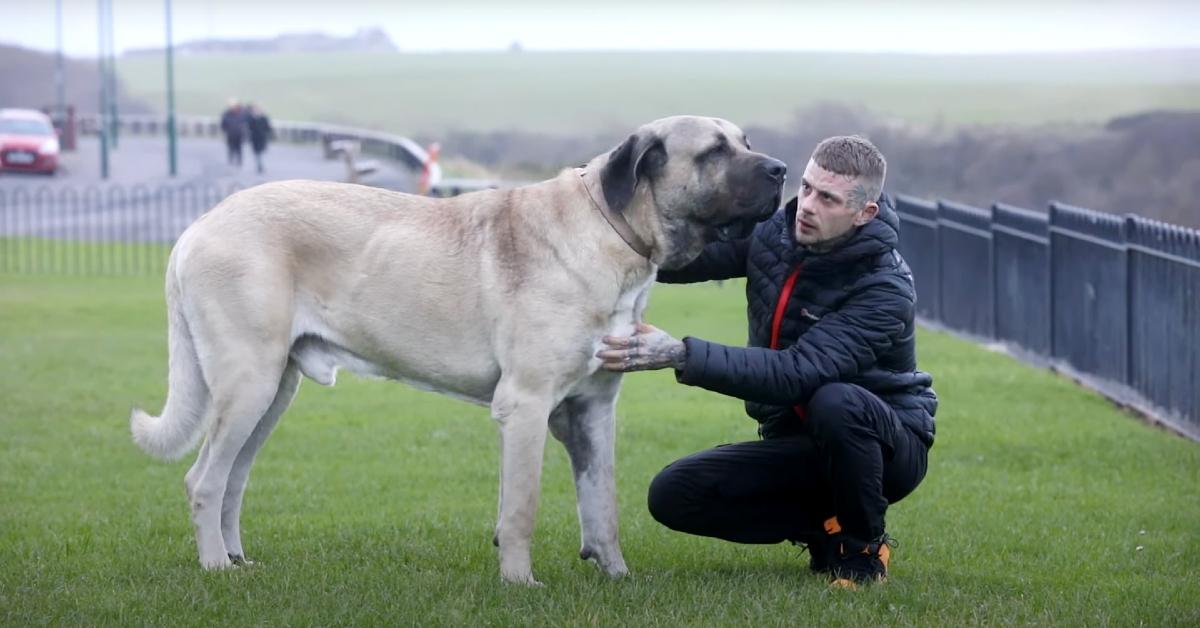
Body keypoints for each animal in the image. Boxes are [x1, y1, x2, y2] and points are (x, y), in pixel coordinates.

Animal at [131, 114, 787, 585]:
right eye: (714, 151)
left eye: (747, 142)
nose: (782, 169)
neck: (614, 232)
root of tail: (197, 228)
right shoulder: (525, 406)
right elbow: (521, 507)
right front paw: (520, 583)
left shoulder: (594, 411)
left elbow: (602, 505)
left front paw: (617, 576)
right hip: (250, 382)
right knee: (203, 481)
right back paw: (216, 568)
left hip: (272, 393)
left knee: (232, 481)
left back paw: (238, 561)